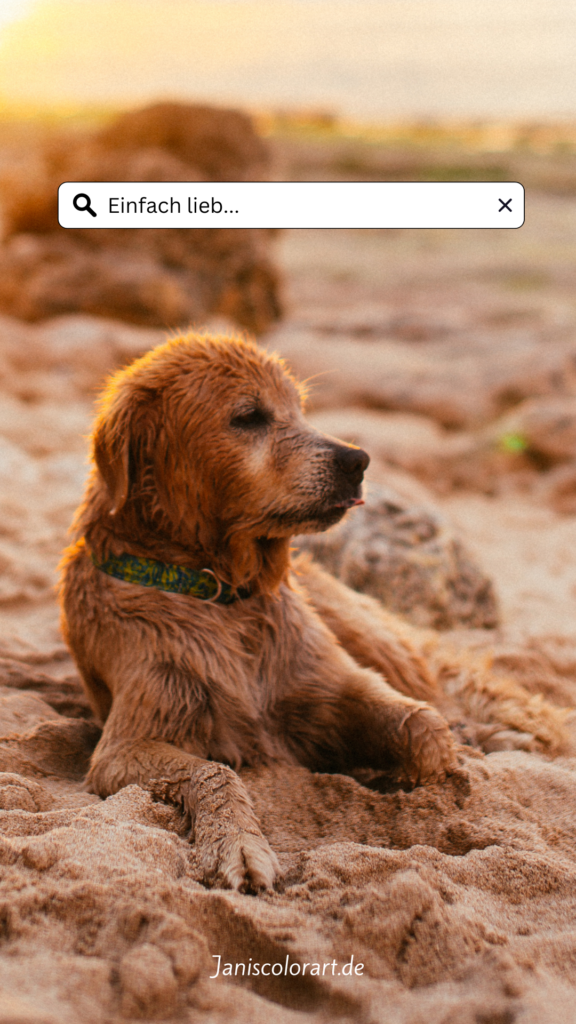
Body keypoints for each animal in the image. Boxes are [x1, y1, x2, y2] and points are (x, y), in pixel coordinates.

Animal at [59, 333, 537, 888]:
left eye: (299, 409)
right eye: (249, 416)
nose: (357, 460)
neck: (220, 592)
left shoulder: (328, 680)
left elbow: (423, 726)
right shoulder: (126, 742)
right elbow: (214, 770)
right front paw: (240, 847)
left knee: (444, 696)